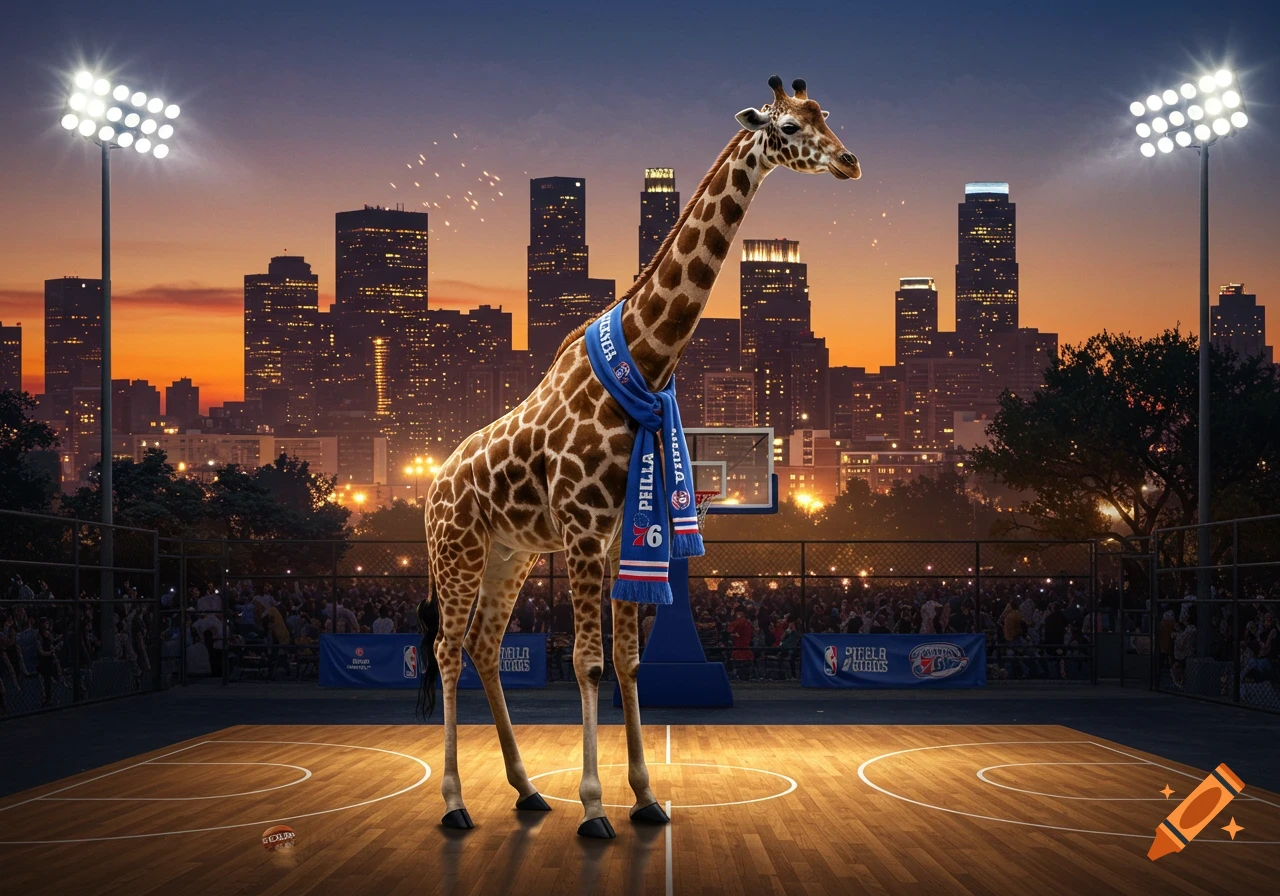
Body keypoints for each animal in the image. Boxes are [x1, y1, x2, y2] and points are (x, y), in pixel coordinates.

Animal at [420, 75, 861, 838]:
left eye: (823, 115)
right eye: (784, 126)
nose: (848, 160)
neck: (647, 366)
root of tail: (431, 485)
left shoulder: (620, 529)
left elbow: (626, 663)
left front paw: (646, 797)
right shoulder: (583, 530)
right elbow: (588, 663)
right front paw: (595, 807)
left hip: (510, 553)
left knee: (483, 647)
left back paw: (526, 789)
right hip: (458, 549)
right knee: (448, 651)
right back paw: (454, 803)